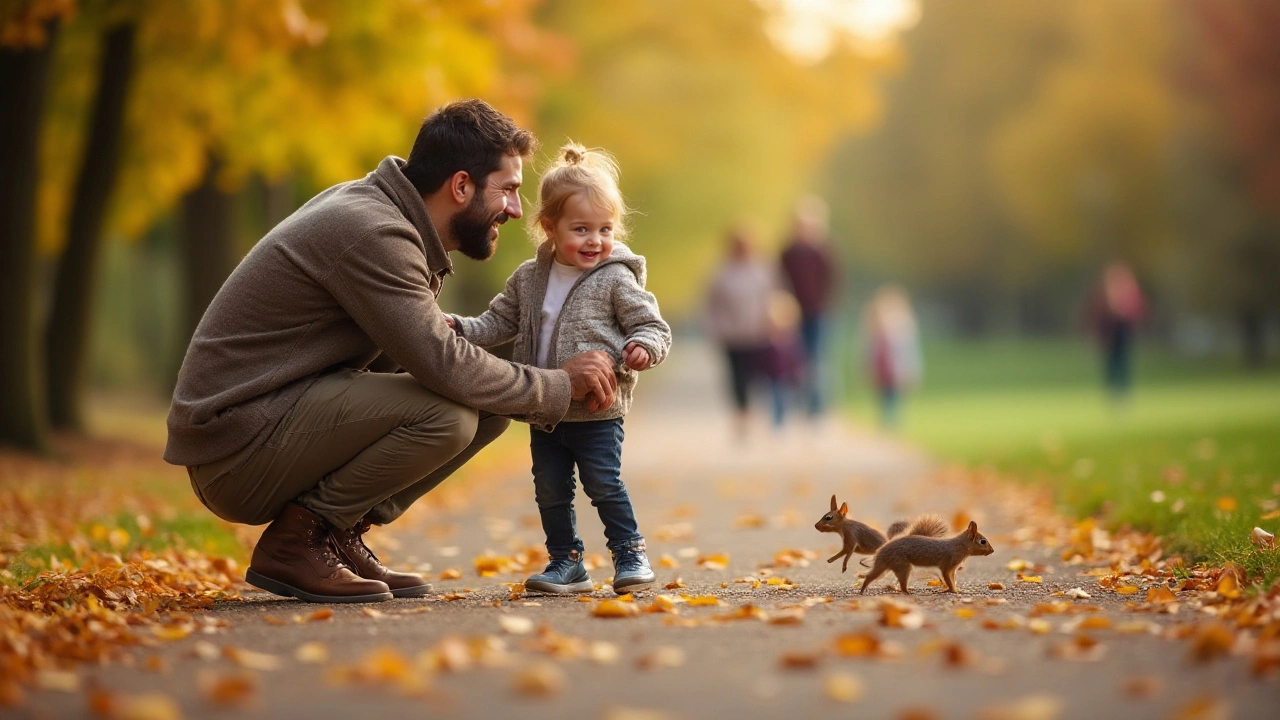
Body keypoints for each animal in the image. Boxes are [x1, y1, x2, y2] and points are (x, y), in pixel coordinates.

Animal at [814, 491, 947, 571]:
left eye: (828, 517)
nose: (816, 526)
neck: (843, 526)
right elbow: (845, 552)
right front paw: (833, 560)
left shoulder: (851, 536)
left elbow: (847, 552)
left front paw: (841, 564)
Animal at [865, 517, 993, 591]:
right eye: (983, 541)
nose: (992, 550)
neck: (959, 546)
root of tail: (882, 552)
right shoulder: (947, 564)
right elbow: (948, 579)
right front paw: (953, 591)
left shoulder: (953, 569)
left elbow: (952, 579)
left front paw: (956, 589)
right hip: (902, 566)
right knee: (901, 583)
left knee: (871, 576)